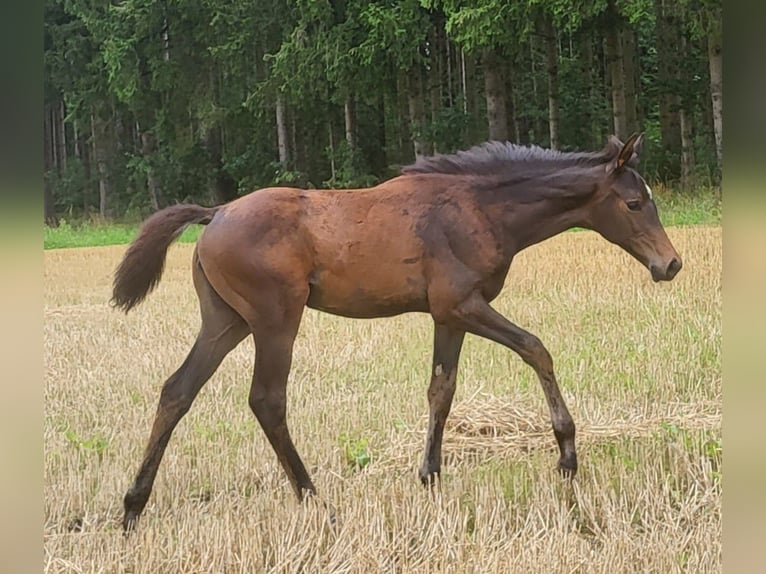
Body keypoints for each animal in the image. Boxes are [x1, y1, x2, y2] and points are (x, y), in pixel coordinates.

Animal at [112, 133, 681, 531]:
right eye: (634, 204)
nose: (670, 264)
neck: (481, 209)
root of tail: (215, 214)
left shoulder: (447, 315)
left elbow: (441, 388)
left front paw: (430, 476)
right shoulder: (463, 305)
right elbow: (536, 349)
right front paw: (566, 455)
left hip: (226, 321)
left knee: (177, 390)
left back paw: (133, 508)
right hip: (275, 320)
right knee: (266, 400)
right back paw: (316, 501)